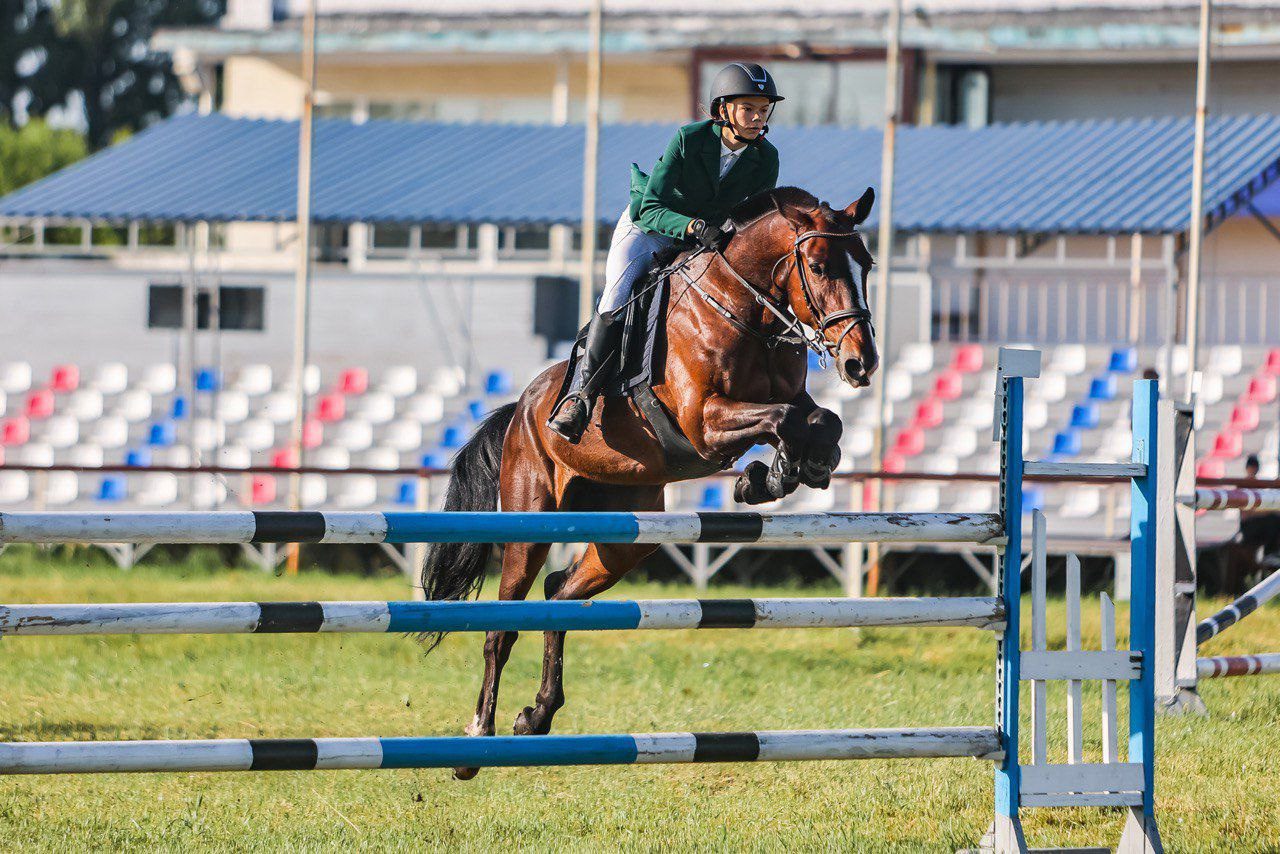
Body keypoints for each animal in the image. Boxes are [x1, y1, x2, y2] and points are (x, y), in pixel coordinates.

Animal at [419, 186, 880, 783]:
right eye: (820, 266)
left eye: (867, 264)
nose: (861, 362)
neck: (746, 310)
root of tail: (522, 405)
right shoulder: (705, 422)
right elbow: (785, 419)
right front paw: (768, 475)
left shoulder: (786, 400)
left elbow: (822, 420)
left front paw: (785, 472)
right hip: (531, 520)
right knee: (503, 627)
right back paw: (476, 741)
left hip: (625, 536)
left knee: (559, 594)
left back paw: (537, 716)